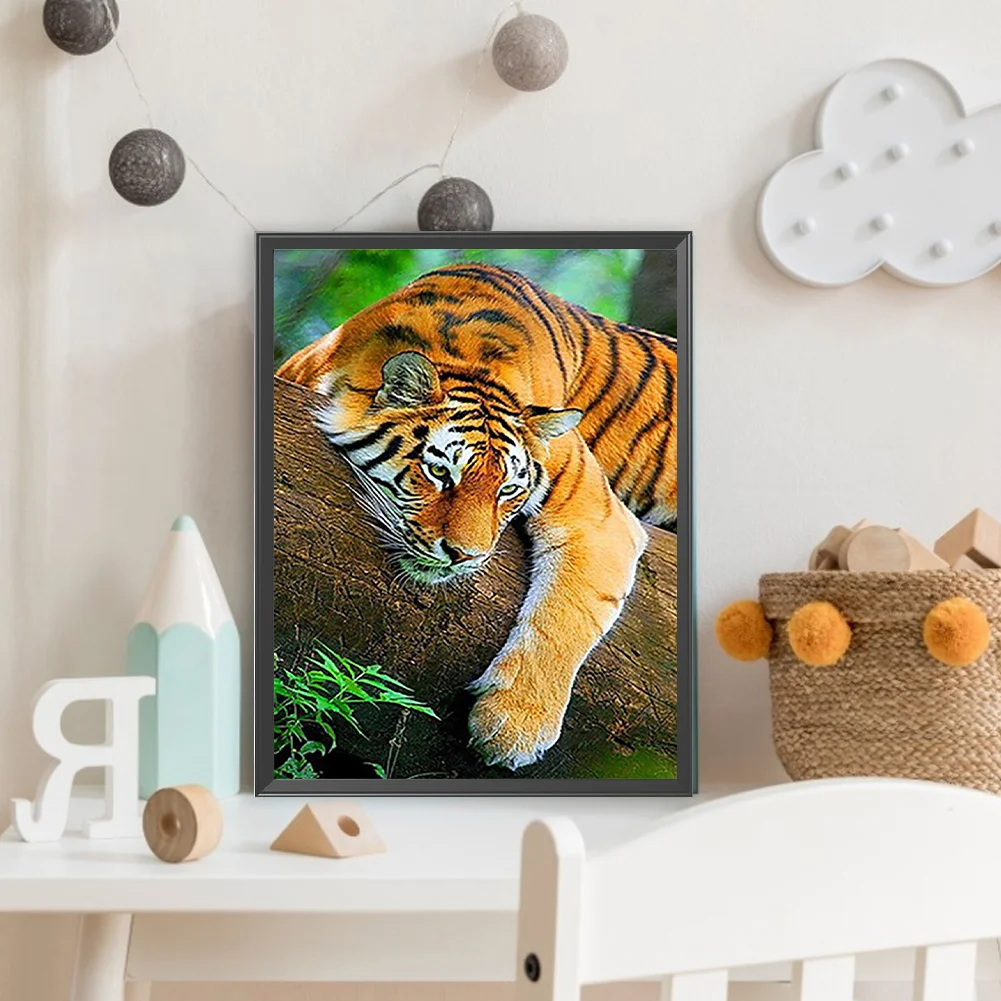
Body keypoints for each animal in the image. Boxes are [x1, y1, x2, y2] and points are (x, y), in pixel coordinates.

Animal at [277, 262, 678, 770]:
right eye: (440, 472)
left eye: (507, 489)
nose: (463, 556)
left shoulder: (599, 518)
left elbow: (565, 618)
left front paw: (515, 726)